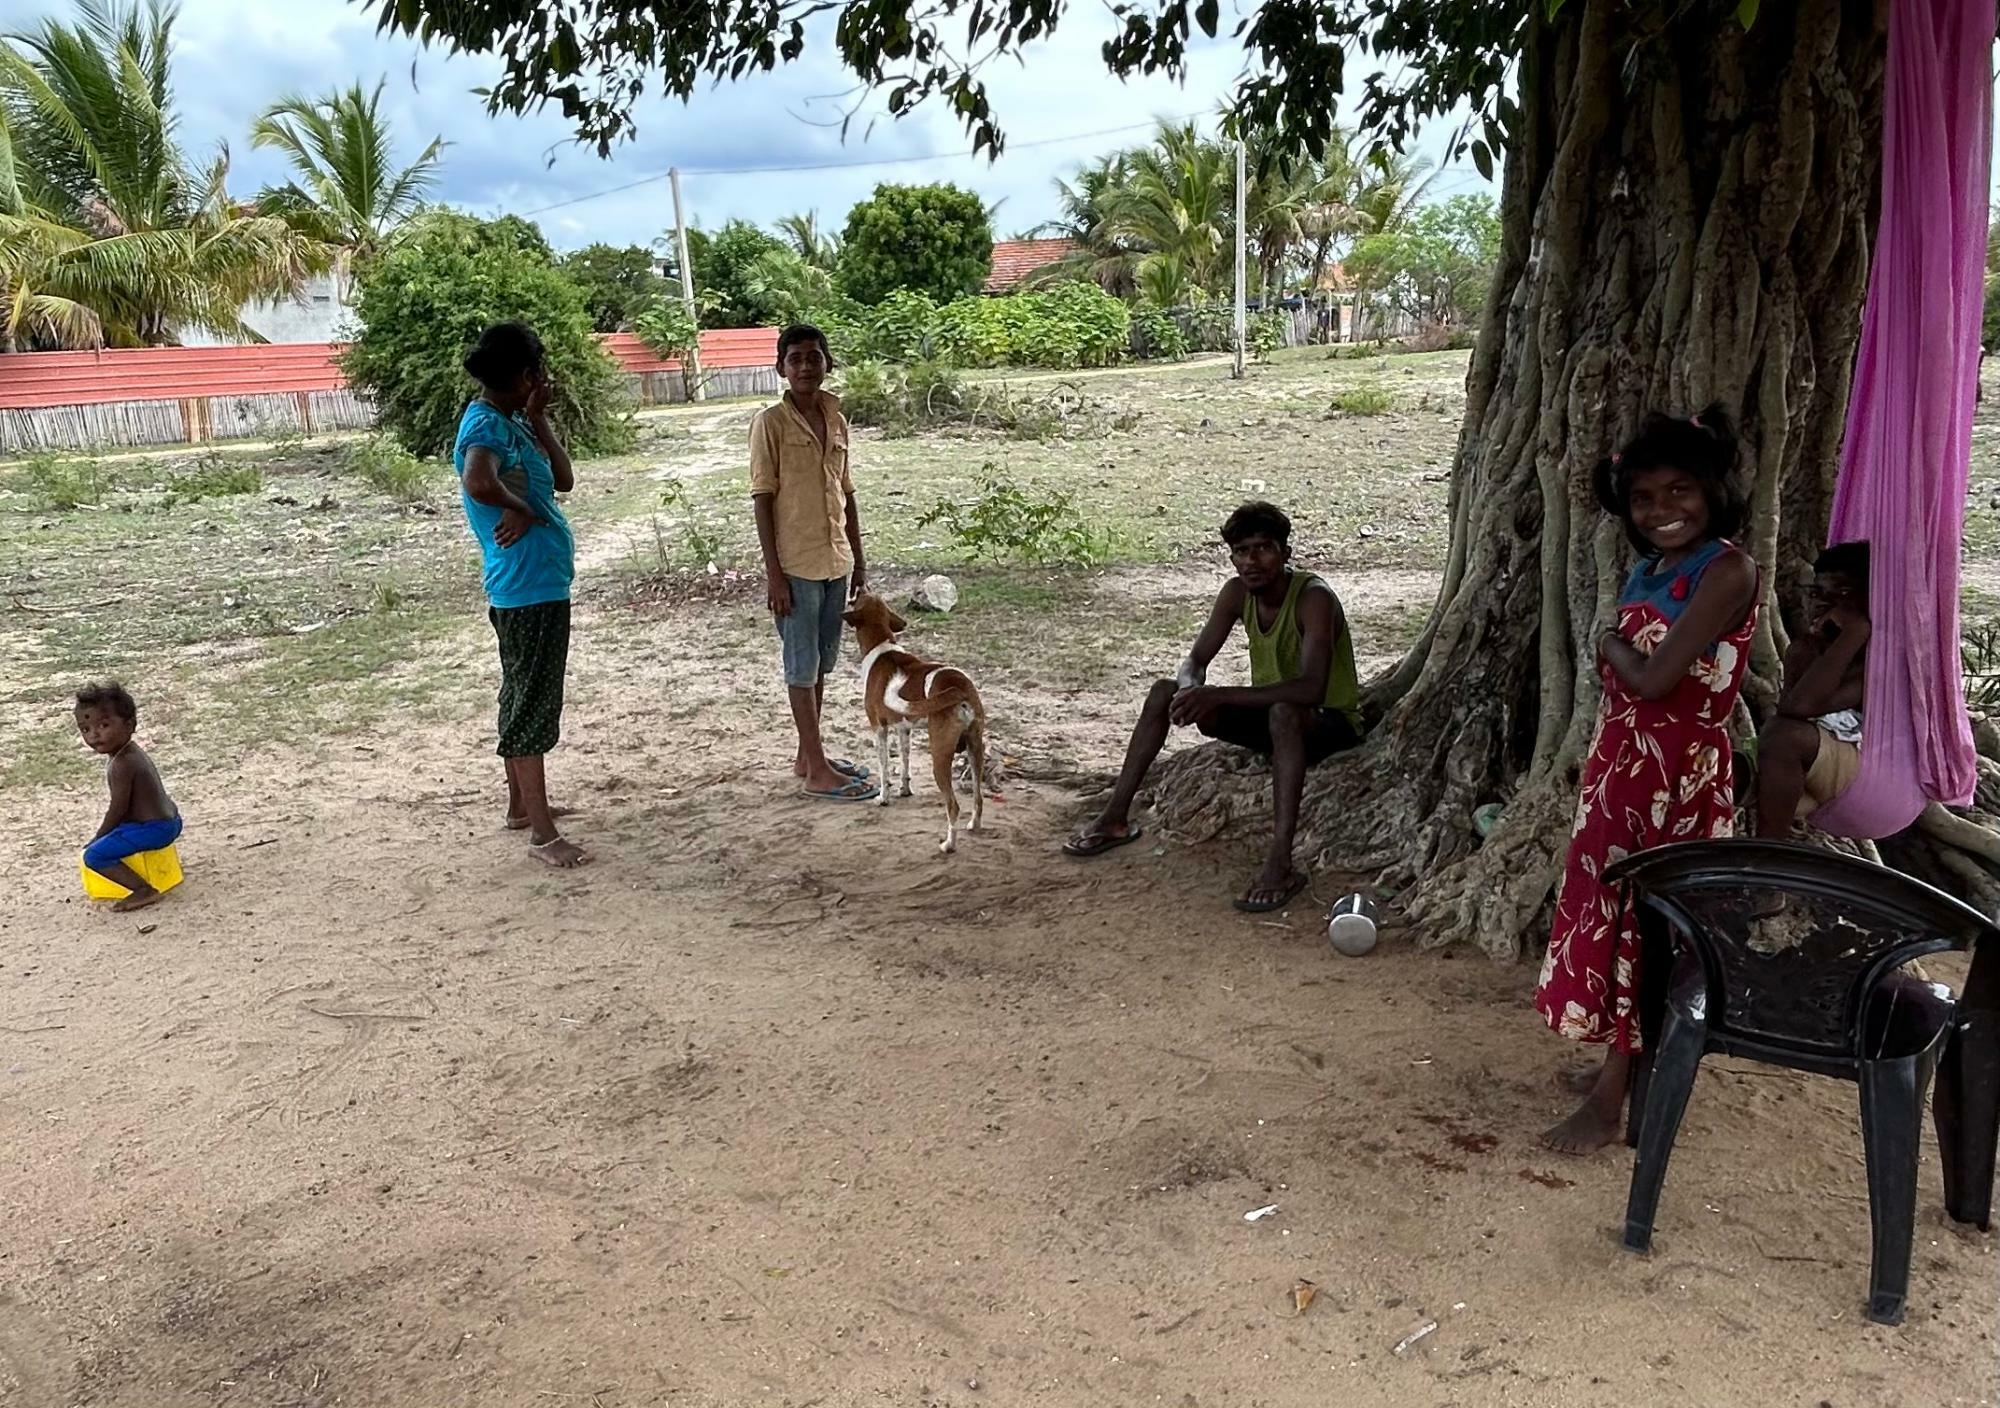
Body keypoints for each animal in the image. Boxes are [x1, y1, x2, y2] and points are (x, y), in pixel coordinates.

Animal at [840, 592, 988, 852]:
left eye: (860, 596)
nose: (856, 589)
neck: (881, 646)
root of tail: (959, 688)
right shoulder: (904, 729)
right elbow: (905, 762)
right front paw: (905, 789)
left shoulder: (879, 727)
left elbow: (883, 769)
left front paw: (883, 798)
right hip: (975, 749)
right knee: (978, 797)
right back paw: (974, 825)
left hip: (939, 755)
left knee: (953, 806)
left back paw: (949, 844)